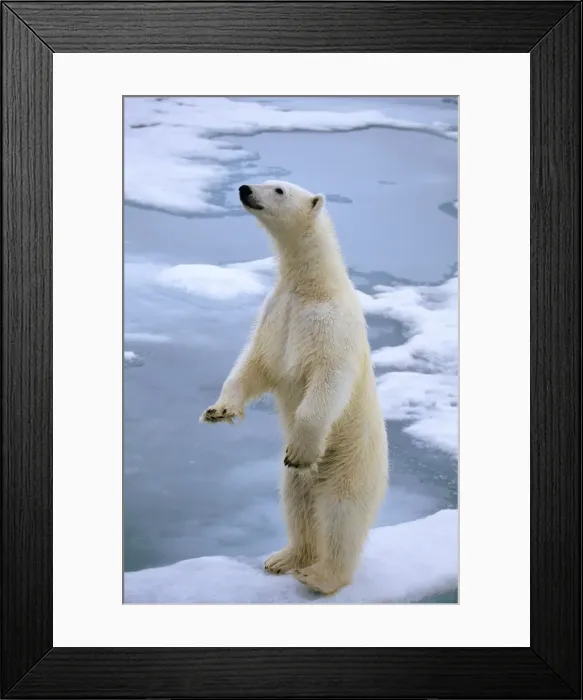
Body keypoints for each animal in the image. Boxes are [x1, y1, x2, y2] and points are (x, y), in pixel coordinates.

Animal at [201, 180, 389, 595]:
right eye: (265, 180)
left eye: (279, 190)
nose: (244, 188)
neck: (311, 287)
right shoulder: (277, 315)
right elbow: (255, 365)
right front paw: (219, 410)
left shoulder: (330, 324)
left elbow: (327, 380)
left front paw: (300, 448)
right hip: (299, 483)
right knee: (297, 503)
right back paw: (285, 558)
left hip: (350, 461)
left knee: (341, 514)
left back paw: (321, 576)